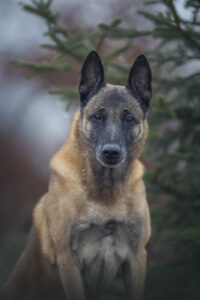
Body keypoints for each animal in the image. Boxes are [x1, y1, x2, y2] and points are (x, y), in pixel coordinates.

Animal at [0, 50, 152, 298]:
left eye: (129, 118)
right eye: (98, 116)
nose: (111, 152)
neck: (105, 194)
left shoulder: (137, 258)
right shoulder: (69, 262)